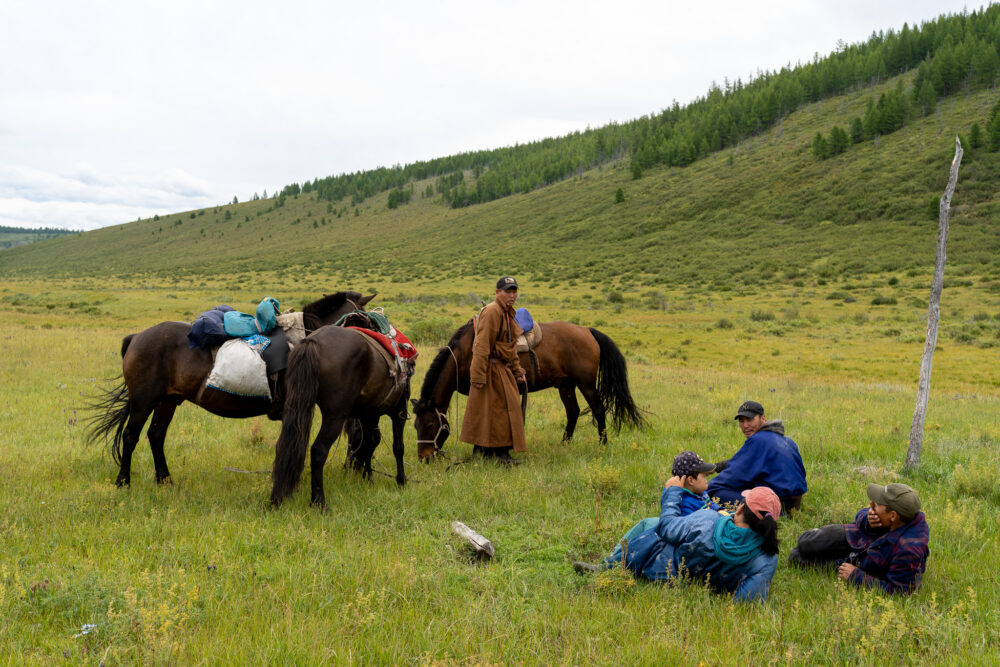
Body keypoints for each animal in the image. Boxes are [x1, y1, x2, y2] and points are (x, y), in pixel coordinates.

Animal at [86, 290, 374, 486]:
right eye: (367, 320)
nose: (376, 347)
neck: (305, 338)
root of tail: (137, 337)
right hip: (143, 401)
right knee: (130, 436)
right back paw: (123, 482)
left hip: (167, 401)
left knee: (156, 436)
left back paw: (165, 480)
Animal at [268, 326, 412, 508]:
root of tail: (312, 341)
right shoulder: (399, 412)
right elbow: (398, 447)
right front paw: (401, 481)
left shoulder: (368, 414)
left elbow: (369, 443)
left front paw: (368, 477)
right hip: (335, 417)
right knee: (318, 451)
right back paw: (319, 502)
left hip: (297, 407)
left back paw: (278, 497)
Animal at [410, 320, 644, 462]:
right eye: (415, 426)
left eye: (430, 424)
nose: (424, 457)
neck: (465, 353)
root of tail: (587, 331)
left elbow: (480, 418)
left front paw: (480, 450)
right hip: (566, 384)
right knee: (573, 412)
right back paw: (564, 444)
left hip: (585, 383)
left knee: (598, 410)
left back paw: (602, 445)